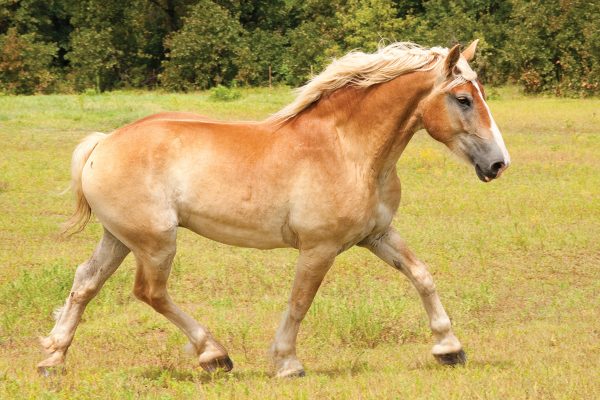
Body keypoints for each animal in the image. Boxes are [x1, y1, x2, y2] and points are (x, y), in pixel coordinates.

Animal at [39, 40, 510, 378]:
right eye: (464, 99)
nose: (498, 164)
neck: (347, 149)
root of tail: (104, 142)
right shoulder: (319, 248)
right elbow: (300, 302)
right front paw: (287, 363)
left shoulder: (377, 235)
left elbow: (421, 276)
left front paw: (449, 348)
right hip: (156, 243)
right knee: (150, 292)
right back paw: (215, 356)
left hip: (119, 238)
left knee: (85, 283)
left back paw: (52, 360)